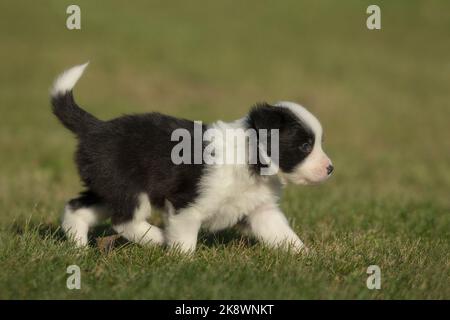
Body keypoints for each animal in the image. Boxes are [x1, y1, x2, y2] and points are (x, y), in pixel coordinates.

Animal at [51, 62, 332, 252]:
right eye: (305, 145)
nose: (331, 169)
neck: (251, 158)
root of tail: (96, 127)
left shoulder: (261, 210)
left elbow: (284, 235)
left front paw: (306, 257)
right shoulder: (187, 205)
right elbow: (185, 241)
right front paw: (182, 262)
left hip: (107, 187)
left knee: (76, 207)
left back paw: (79, 248)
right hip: (129, 188)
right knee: (123, 221)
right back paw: (156, 238)